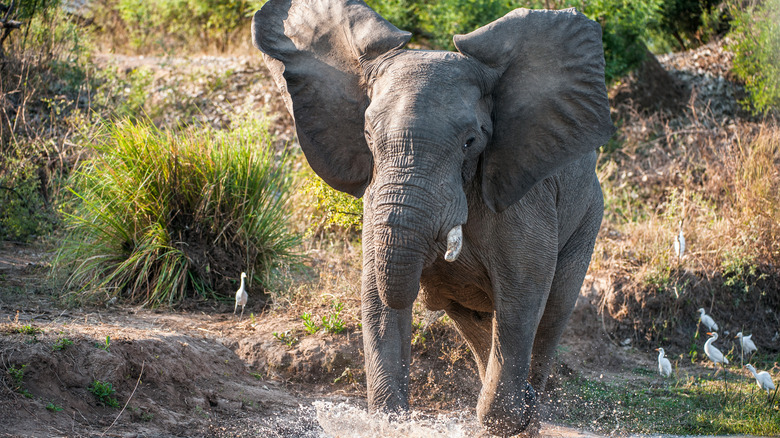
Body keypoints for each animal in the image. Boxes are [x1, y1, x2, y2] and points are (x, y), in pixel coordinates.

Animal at [253, 1, 612, 436]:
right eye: (368, 136)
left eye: (471, 141)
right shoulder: (376, 196)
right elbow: (377, 300)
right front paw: (392, 422)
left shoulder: (524, 202)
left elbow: (523, 299)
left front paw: (511, 413)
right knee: (473, 320)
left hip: (589, 215)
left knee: (551, 311)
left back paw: (528, 410)